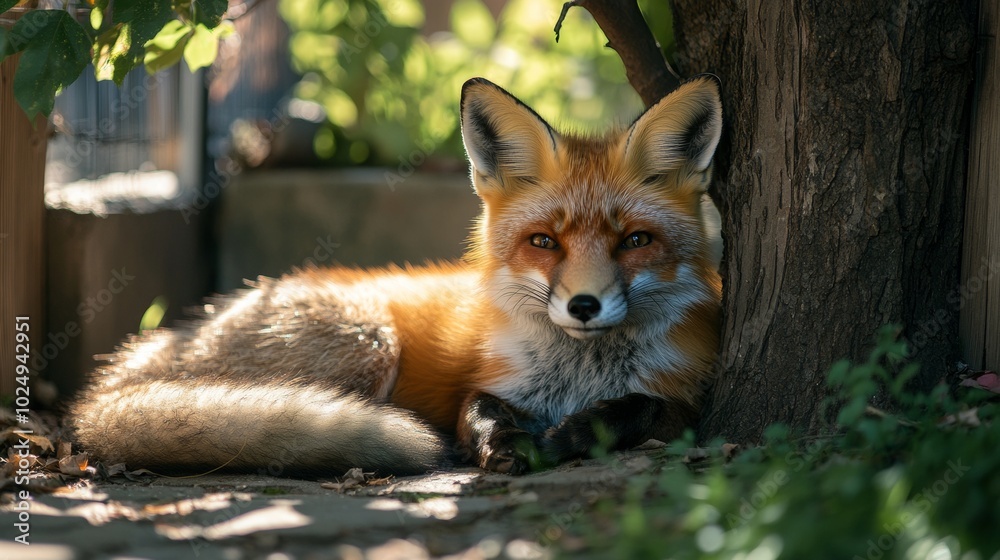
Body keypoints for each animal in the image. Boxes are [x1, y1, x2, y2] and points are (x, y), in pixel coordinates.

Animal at [70, 76, 723, 477]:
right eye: (544, 242)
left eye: (635, 241)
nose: (584, 305)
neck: (578, 375)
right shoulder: (487, 382)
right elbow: (478, 411)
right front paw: (500, 443)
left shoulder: (687, 401)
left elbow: (637, 409)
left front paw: (567, 437)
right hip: (369, 344)